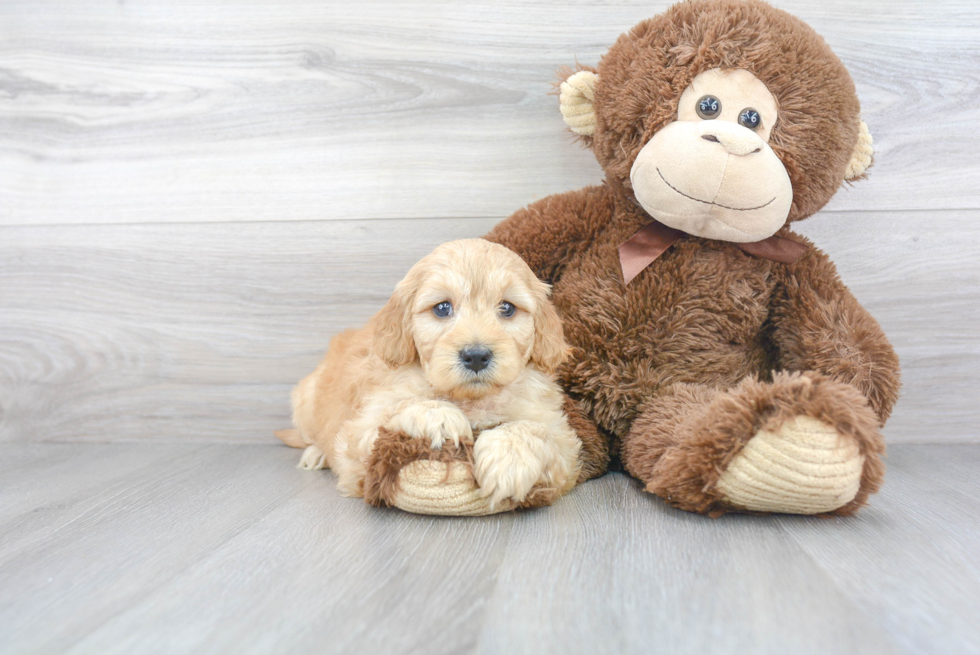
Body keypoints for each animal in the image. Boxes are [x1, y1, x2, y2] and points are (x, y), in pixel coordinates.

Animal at [276, 238, 580, 516]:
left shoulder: (563, 437)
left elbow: (536, 430)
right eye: (442, 308)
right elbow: (399, 408)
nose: (476, 356)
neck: (470, 398)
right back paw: (315, 453)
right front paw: (438, 416)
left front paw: (509, 460)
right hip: (306, 398)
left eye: (507, 308)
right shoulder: (359, 434)